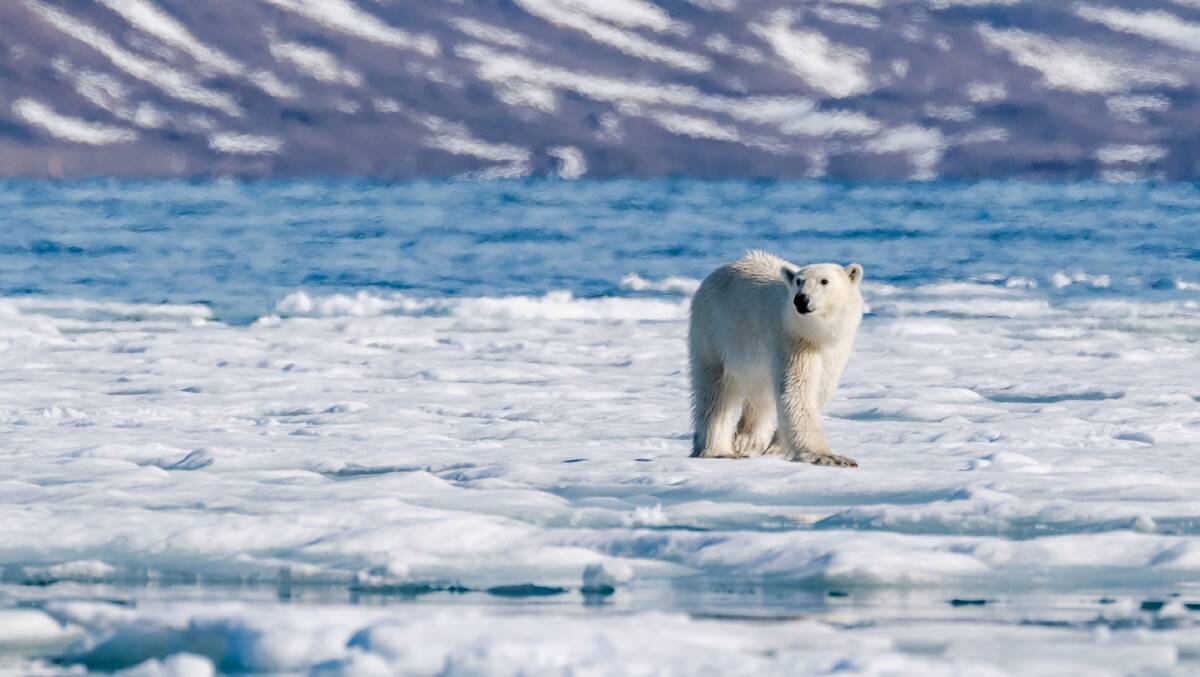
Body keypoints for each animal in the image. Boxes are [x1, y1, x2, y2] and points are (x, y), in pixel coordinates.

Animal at [688, 251, 863, 467]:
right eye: (799, 281)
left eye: (824, 281)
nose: (801, 299)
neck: (817, 335)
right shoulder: (792, 341)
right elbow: (798, 391)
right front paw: (829, 457)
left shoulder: (834, 351)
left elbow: (820, 389)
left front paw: (776, 445)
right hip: (713, 331)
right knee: (715, 392)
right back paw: (719, 450)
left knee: (760, 394)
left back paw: (748, 440)